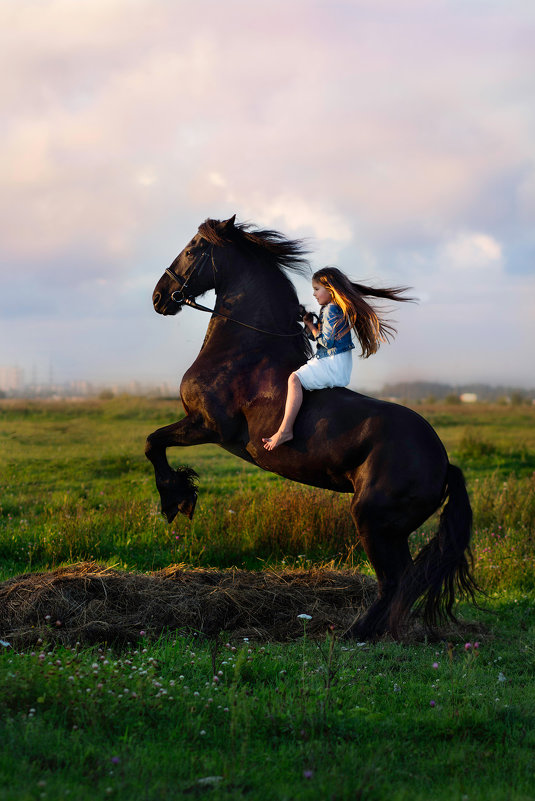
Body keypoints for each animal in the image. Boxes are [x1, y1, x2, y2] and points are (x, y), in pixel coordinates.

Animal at [146, 214, 478, 636]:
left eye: (192, 250)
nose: (159, 297)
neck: (243, 352)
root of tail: (443, 463)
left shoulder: (207, 426)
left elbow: (153, 443)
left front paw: (177, 500)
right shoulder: (201, 426)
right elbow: (155, 443)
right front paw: (181, 498)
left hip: (373, 520)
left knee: (395, 580)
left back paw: (357, 633)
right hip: (392, 528)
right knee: (406, 581)